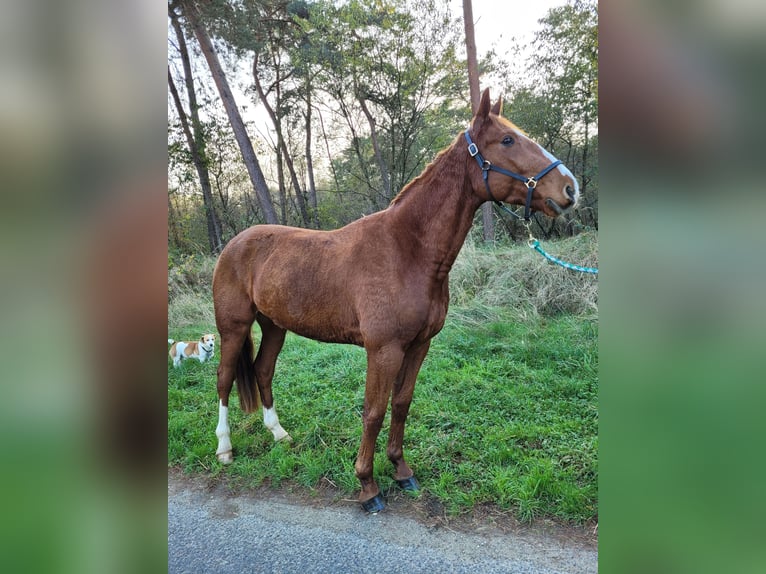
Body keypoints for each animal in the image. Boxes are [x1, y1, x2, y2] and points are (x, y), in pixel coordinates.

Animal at [213, 89, 580, 512]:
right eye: (507, 140)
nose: (570, 189)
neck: (407, 250)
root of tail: (235, 243)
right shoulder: (383, 350)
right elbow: (373, 412)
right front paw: (367, 485)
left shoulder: (419, 345)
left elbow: (402, 403)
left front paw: (402, 471)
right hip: (233, 328)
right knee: (224, 379)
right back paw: (224, 449)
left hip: (274, 326)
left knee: (263, 371)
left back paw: (279, 435)